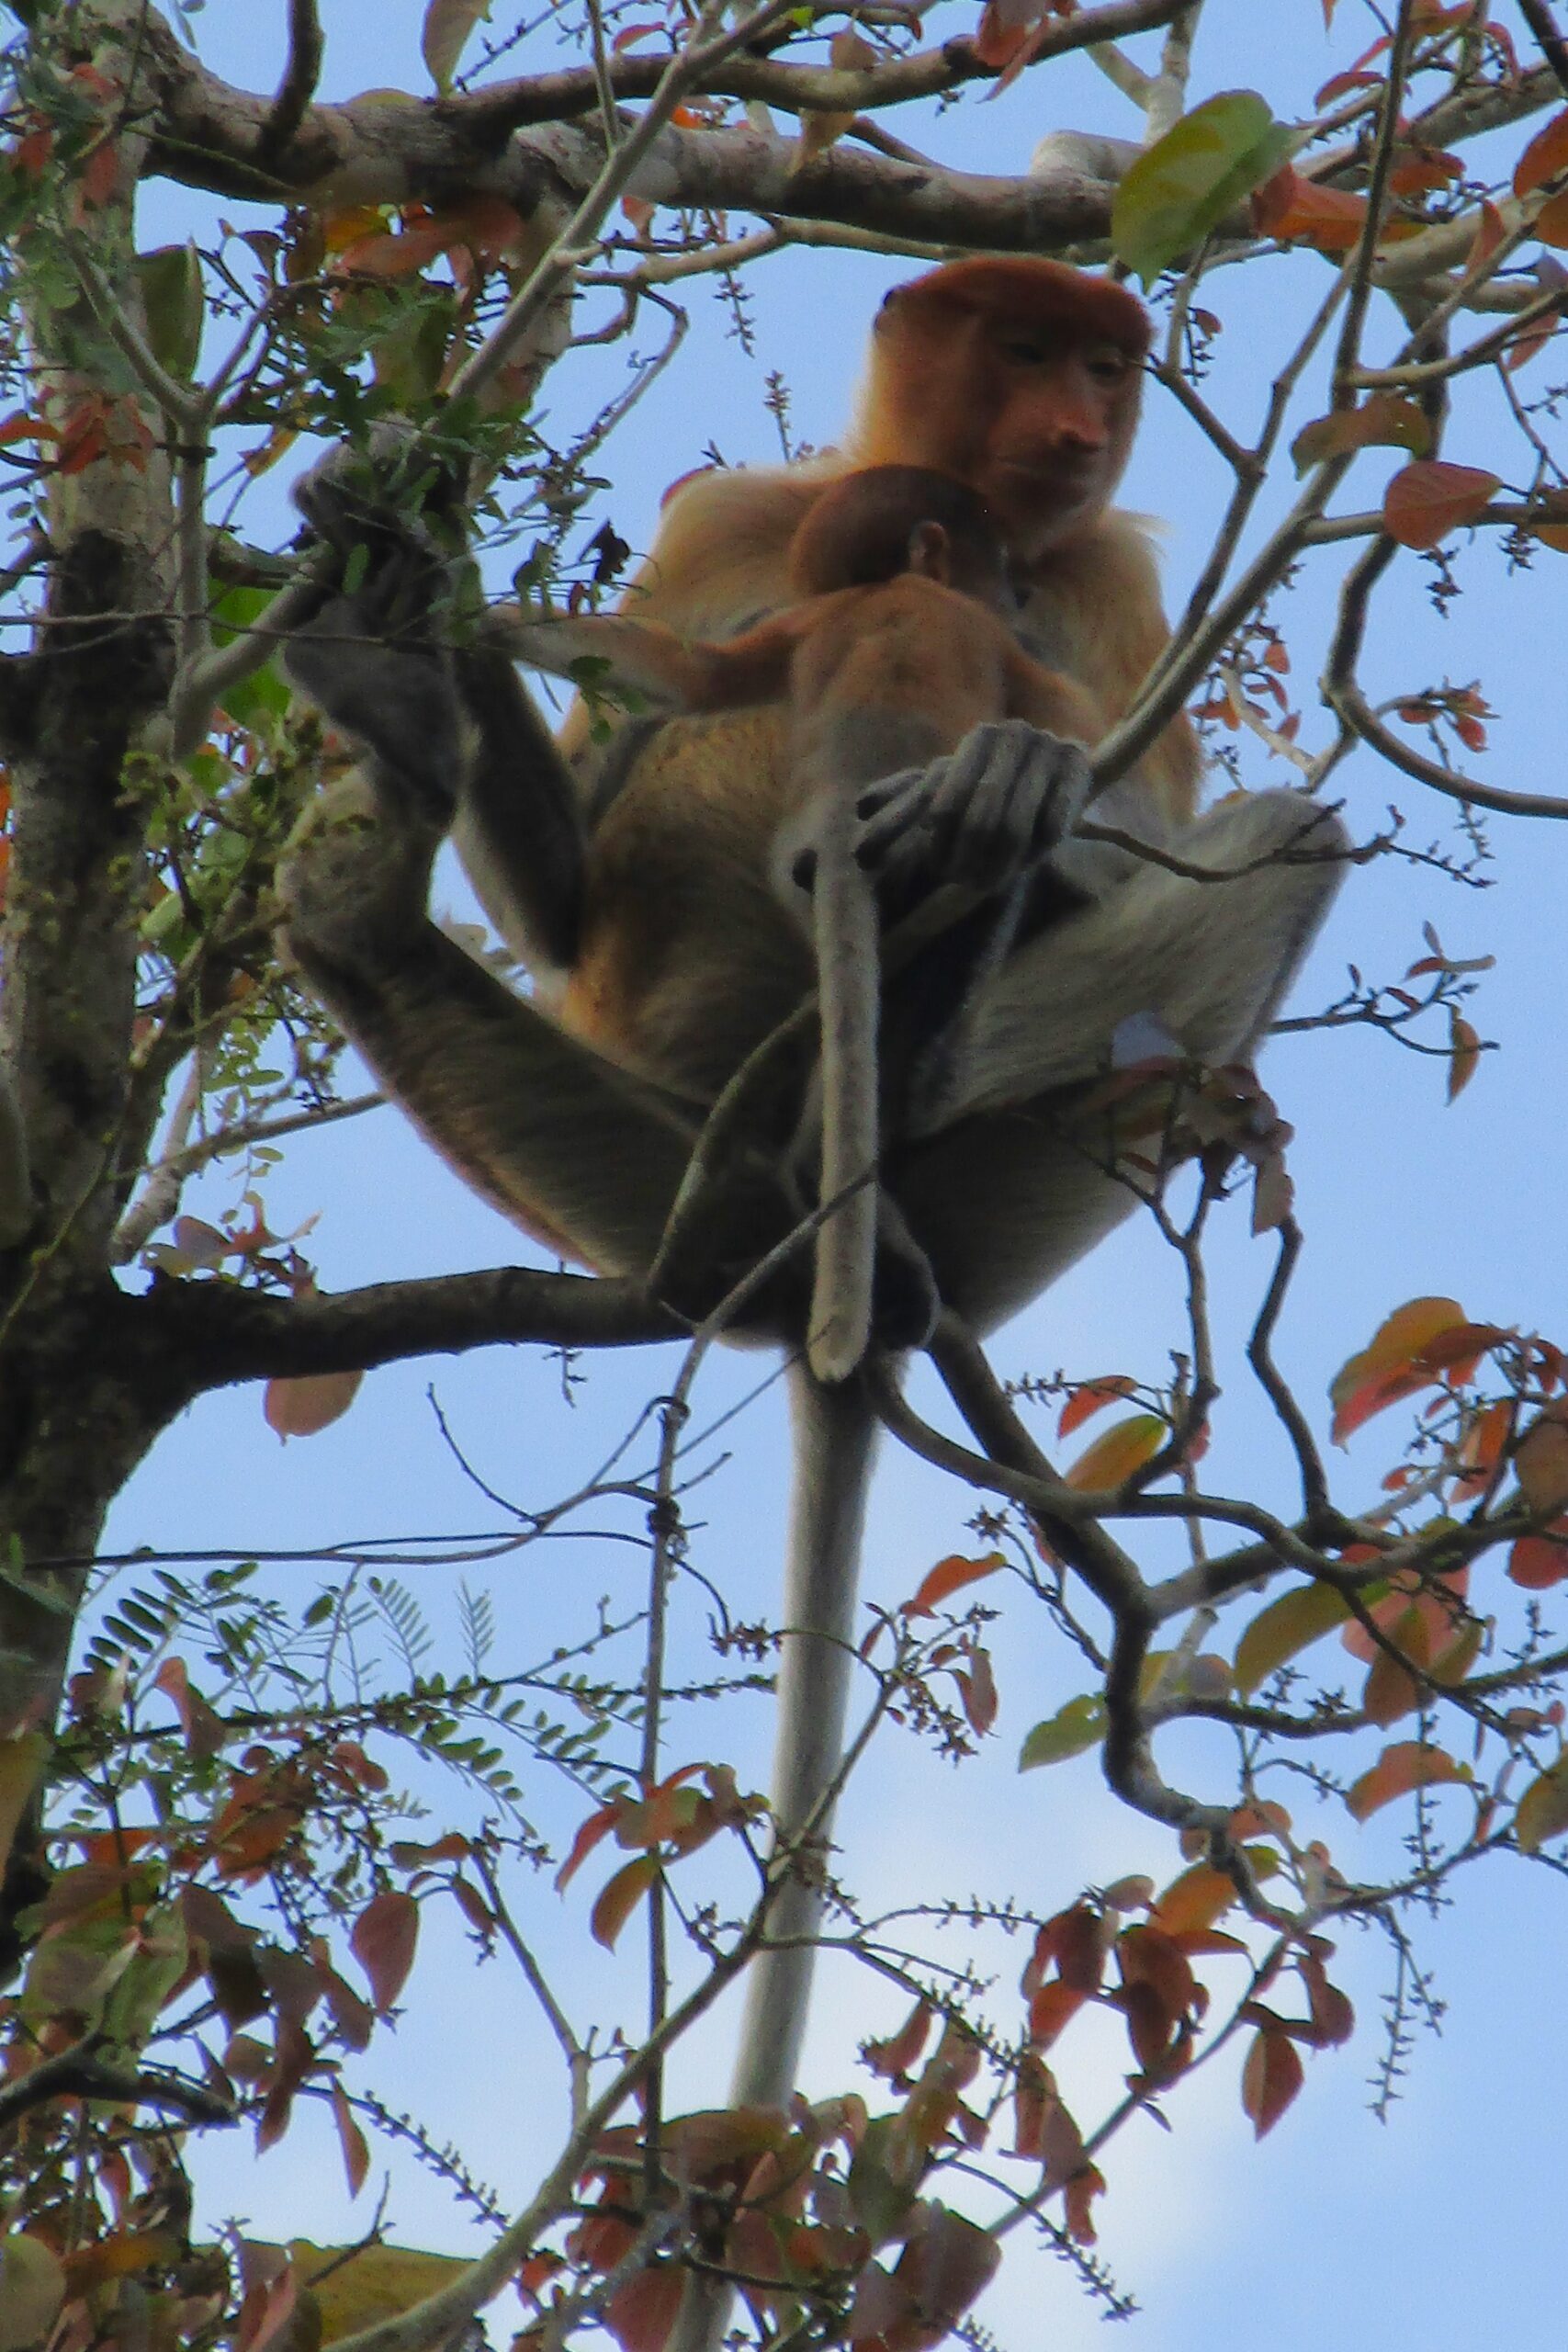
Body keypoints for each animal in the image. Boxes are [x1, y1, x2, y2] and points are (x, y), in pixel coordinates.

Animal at [502, 458, 1104, 1374]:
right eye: (995, 565)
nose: (1019, 593)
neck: (886, 587)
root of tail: (835, 817)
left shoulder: (801, 623)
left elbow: (687, 672)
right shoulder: (980, 632)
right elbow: (1072, 729)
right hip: (911, 860)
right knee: (979, 886)